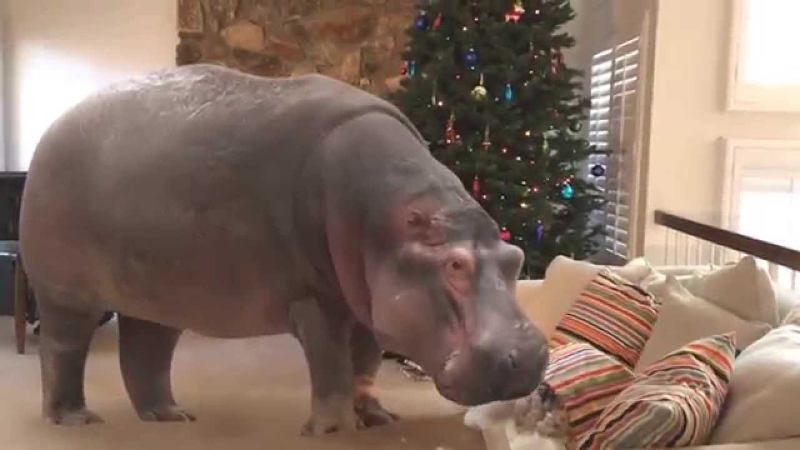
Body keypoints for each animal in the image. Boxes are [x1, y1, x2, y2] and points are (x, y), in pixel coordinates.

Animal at [19, 64, 548, 434]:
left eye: (517, 259)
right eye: (455, 264)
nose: (526, 357)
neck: (400, 218)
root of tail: (54, 128)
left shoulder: (369, 301)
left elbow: (365, 361)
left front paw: (378, 418)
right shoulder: (317, 298)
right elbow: (332, 365)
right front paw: (333, 431)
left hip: (154, 293)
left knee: (146, 350)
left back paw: (170, 417)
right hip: (65, 293)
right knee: (63, 350)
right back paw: (75, 419)